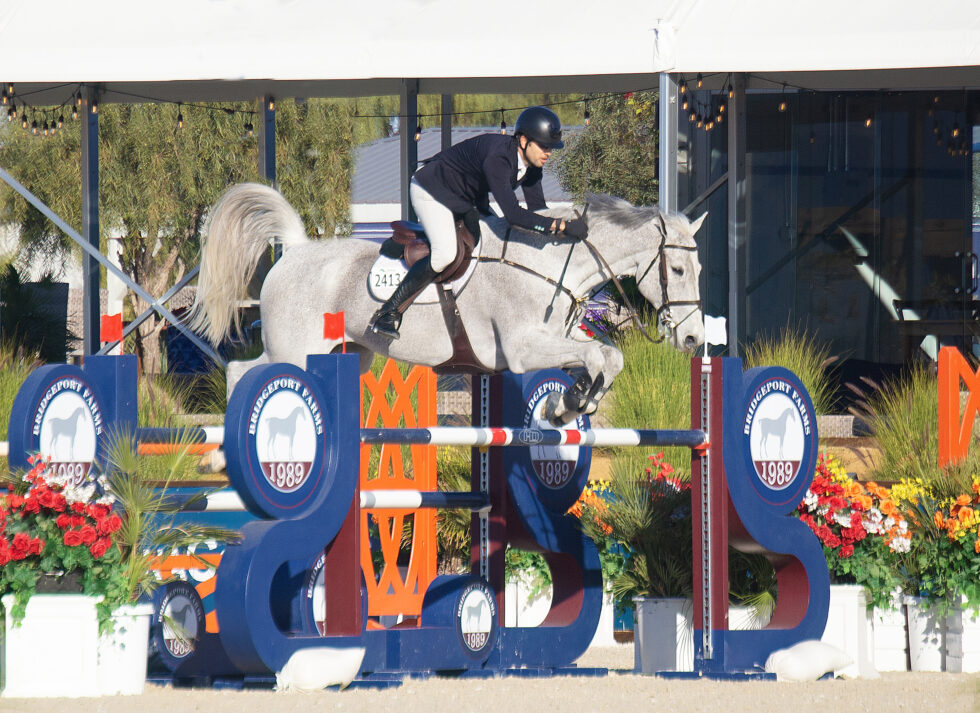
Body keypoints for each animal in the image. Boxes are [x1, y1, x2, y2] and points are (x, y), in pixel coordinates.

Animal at [189, 183, 705, 424]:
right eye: (679, 271)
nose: (695, 338)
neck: (547, 261)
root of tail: (295, 250)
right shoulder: (522, 348)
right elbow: (599, 354)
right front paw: (572, 403)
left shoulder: (557, 338)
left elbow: (607, 356)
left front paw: (571, 403)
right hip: (291, 350)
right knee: (243, 372)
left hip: (345, 353)